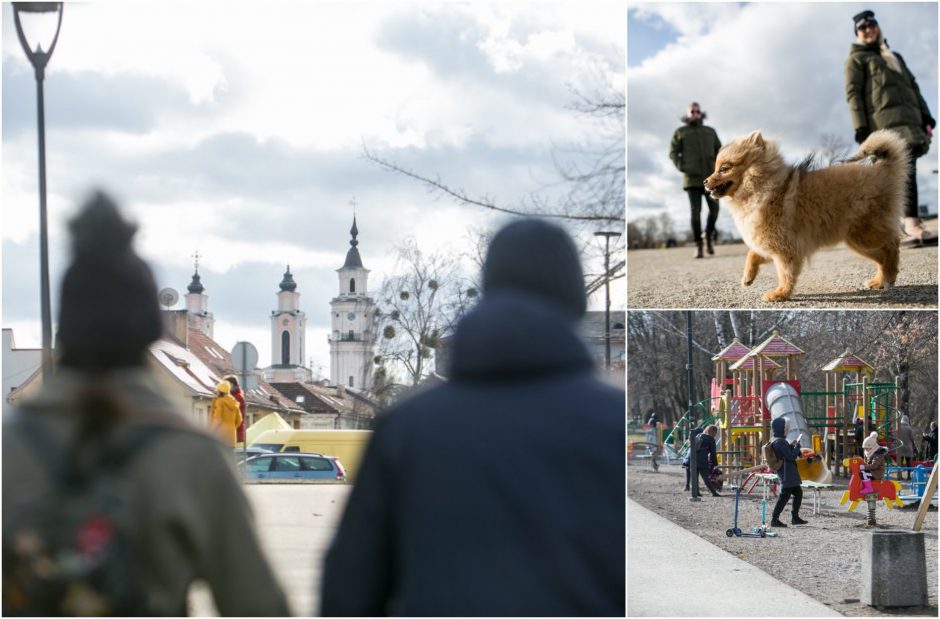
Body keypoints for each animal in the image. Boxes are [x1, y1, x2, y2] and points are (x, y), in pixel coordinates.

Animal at [708, 131, 908, 302]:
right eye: (715, 169)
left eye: (724, 169)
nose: (704, 181)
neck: (762, 186)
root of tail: (883, 170)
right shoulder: (770, 244)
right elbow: (752, 254)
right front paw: (748, 277)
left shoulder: (785, 248)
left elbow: (785, 273)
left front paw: (780, 293)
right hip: (858, 240)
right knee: (883, 256)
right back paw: (879, 281)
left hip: (864, 237)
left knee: (892, 246)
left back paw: (889, 276)